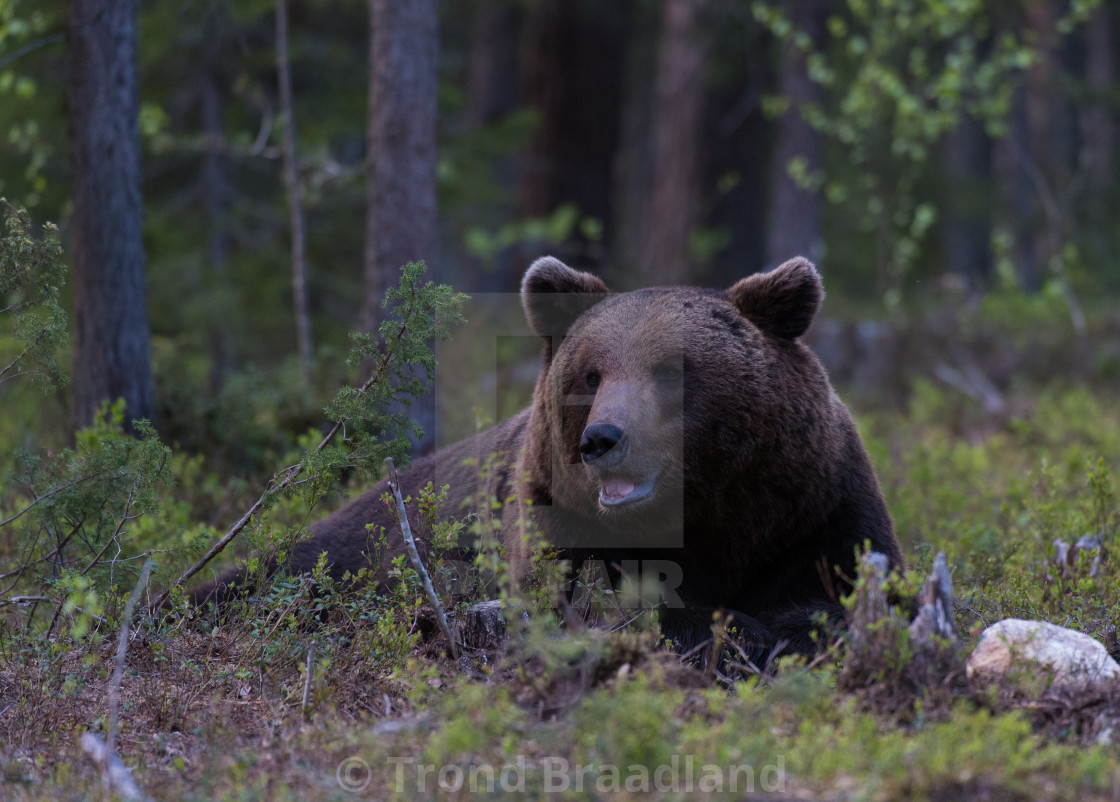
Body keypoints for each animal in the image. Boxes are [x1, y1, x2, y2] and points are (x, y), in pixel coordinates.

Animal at [192, 258, 904, 663]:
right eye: (591, 374)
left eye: (672, 370)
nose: (603, 439)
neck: (711, 516)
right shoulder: (548, 515)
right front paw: (728, 630)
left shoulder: (812, 507)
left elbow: (839, 592)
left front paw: (777, 629)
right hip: (344, 550)